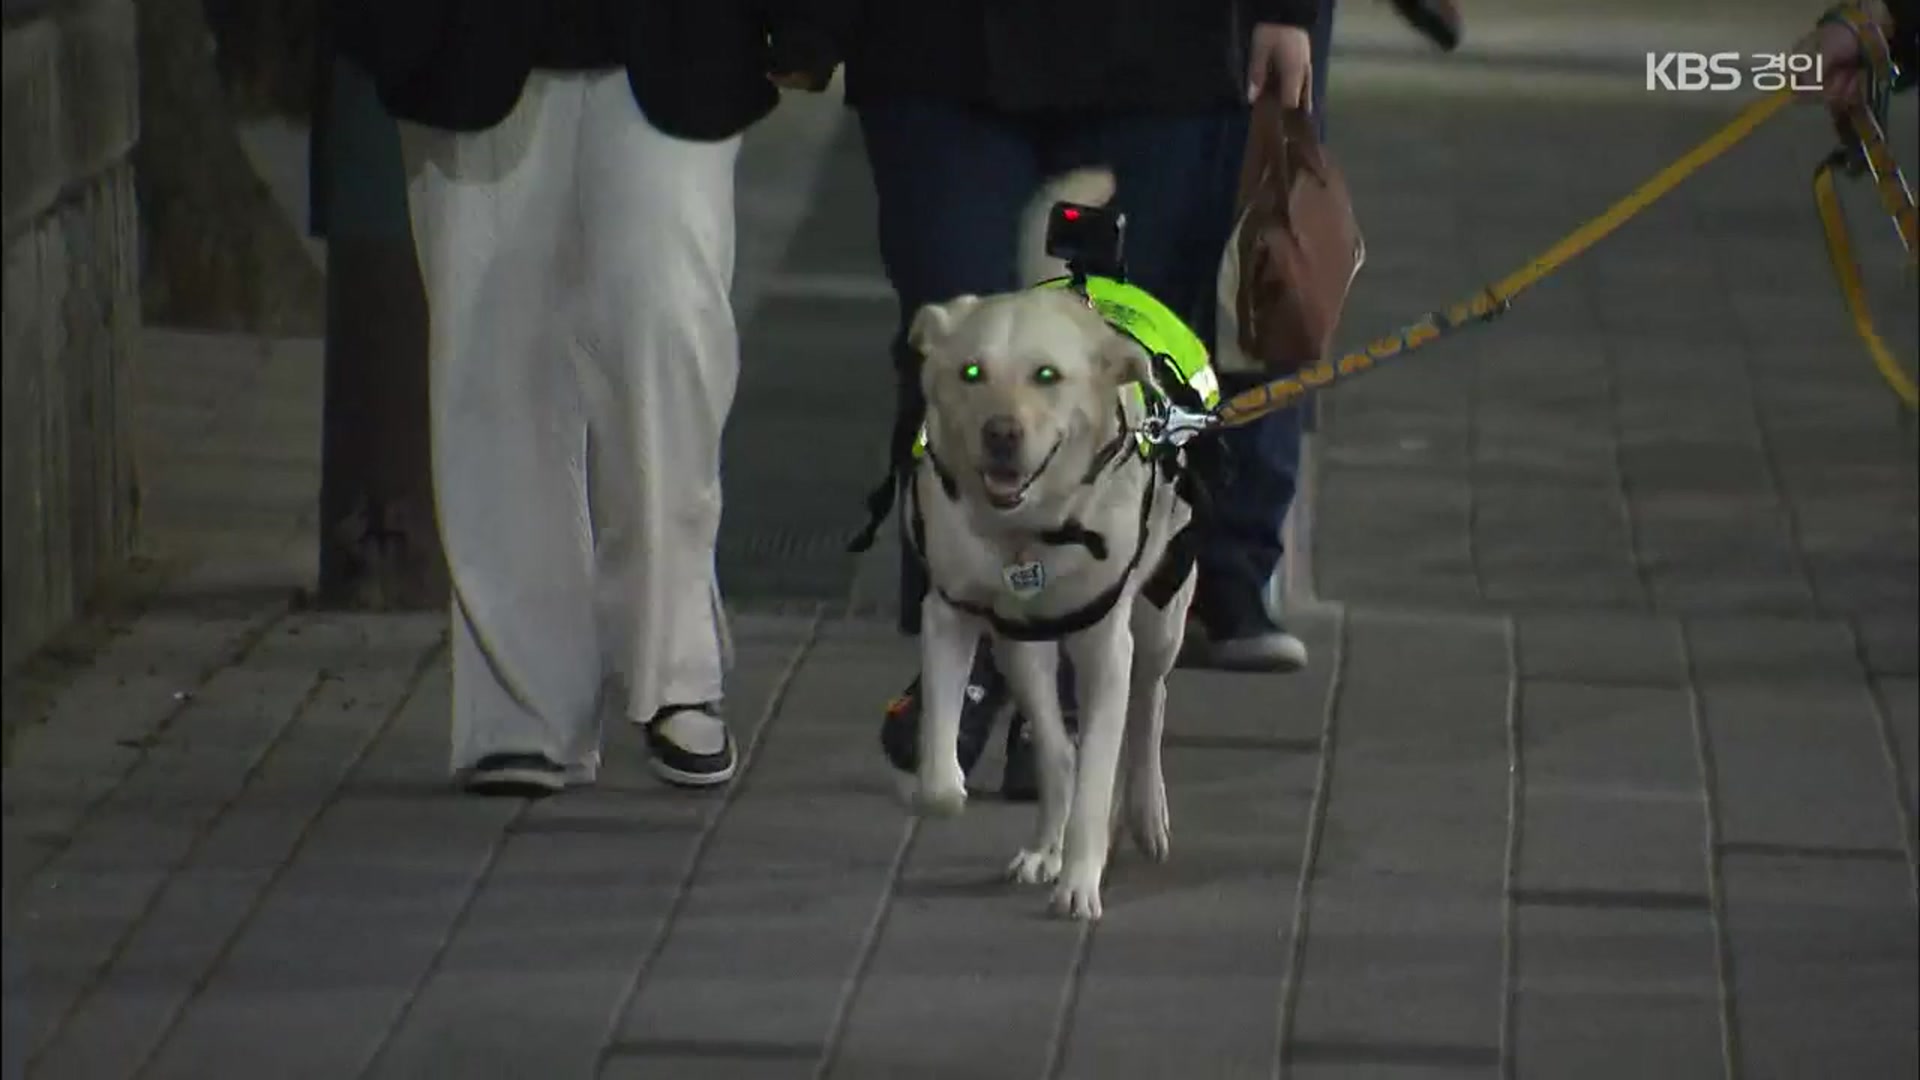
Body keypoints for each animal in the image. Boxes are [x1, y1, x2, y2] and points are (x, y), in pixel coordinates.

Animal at [902, 168, 1198, 914]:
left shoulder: (1105, 647)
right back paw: (1046, 843)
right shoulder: (950, 614)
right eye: (970, 372)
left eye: (1046, 376)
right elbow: (943, 783)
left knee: (1149, 707)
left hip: (1162, 616)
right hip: (1020, 645)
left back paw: (1144, 813)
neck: (1029, 532)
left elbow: (1098, 769)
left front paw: (1082, 877)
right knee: (1055, 743)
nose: (1001, 434)